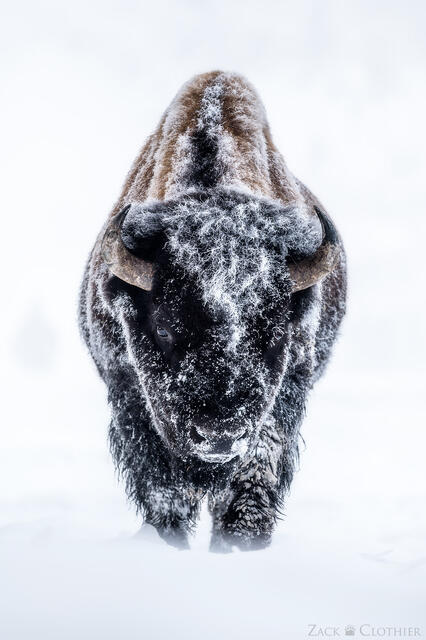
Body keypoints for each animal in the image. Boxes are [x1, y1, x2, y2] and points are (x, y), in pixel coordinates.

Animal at [79, 71, 346, 551]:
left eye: (274, 333)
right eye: (165, 329)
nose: (219, 435)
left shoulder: (282, 397)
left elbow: (252, 474)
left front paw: (240, 543)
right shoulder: (129, 393)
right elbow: (163, 489)